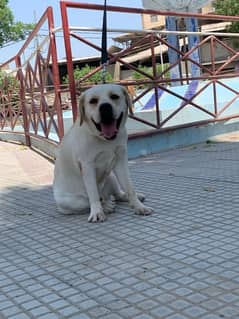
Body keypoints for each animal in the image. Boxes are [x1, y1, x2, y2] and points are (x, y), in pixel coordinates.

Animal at [53, 84, 152, 222]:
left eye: (114, 96)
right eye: (93, 101)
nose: (105, 107)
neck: (104, 140)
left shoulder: (121, 161)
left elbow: (129, 187)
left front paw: (139, 206)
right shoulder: (87, 166)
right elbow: (93, 194)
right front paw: (97, 212)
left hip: (111, 177)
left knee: (117, 194)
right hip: (68, 201)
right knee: (90, 201)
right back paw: (106, 206)